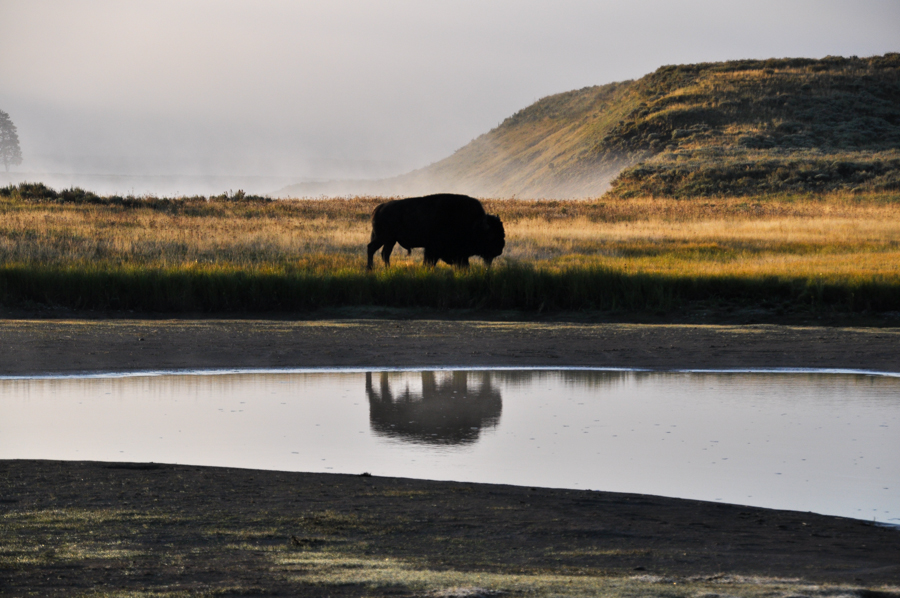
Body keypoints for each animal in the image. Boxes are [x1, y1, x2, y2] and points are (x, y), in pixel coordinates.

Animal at [366, 195, 506, 270]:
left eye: (502, 233)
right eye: (492, 235)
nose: (499, 250)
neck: (474, 224)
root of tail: (379, 207)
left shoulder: (459, 254)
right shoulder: (433, 249)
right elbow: (429, 262)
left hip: (390, 240)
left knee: (385, 253)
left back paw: (387, 268)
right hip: (382, 237)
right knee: (371, 248)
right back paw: (370, 269)